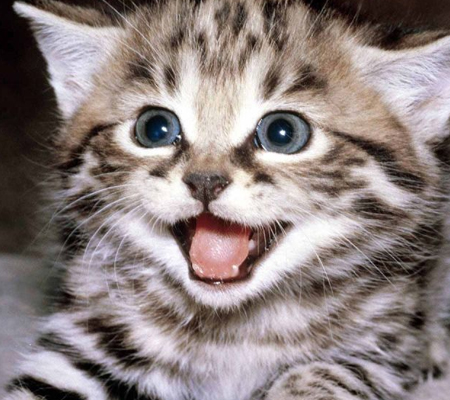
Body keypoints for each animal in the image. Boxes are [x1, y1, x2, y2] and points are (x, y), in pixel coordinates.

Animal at [6, 0, 450, 399]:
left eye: (283, 132)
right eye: (155, 127)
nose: (205, 181)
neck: (230, 329)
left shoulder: (385, 344)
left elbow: (322, 373)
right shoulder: (91, 332)